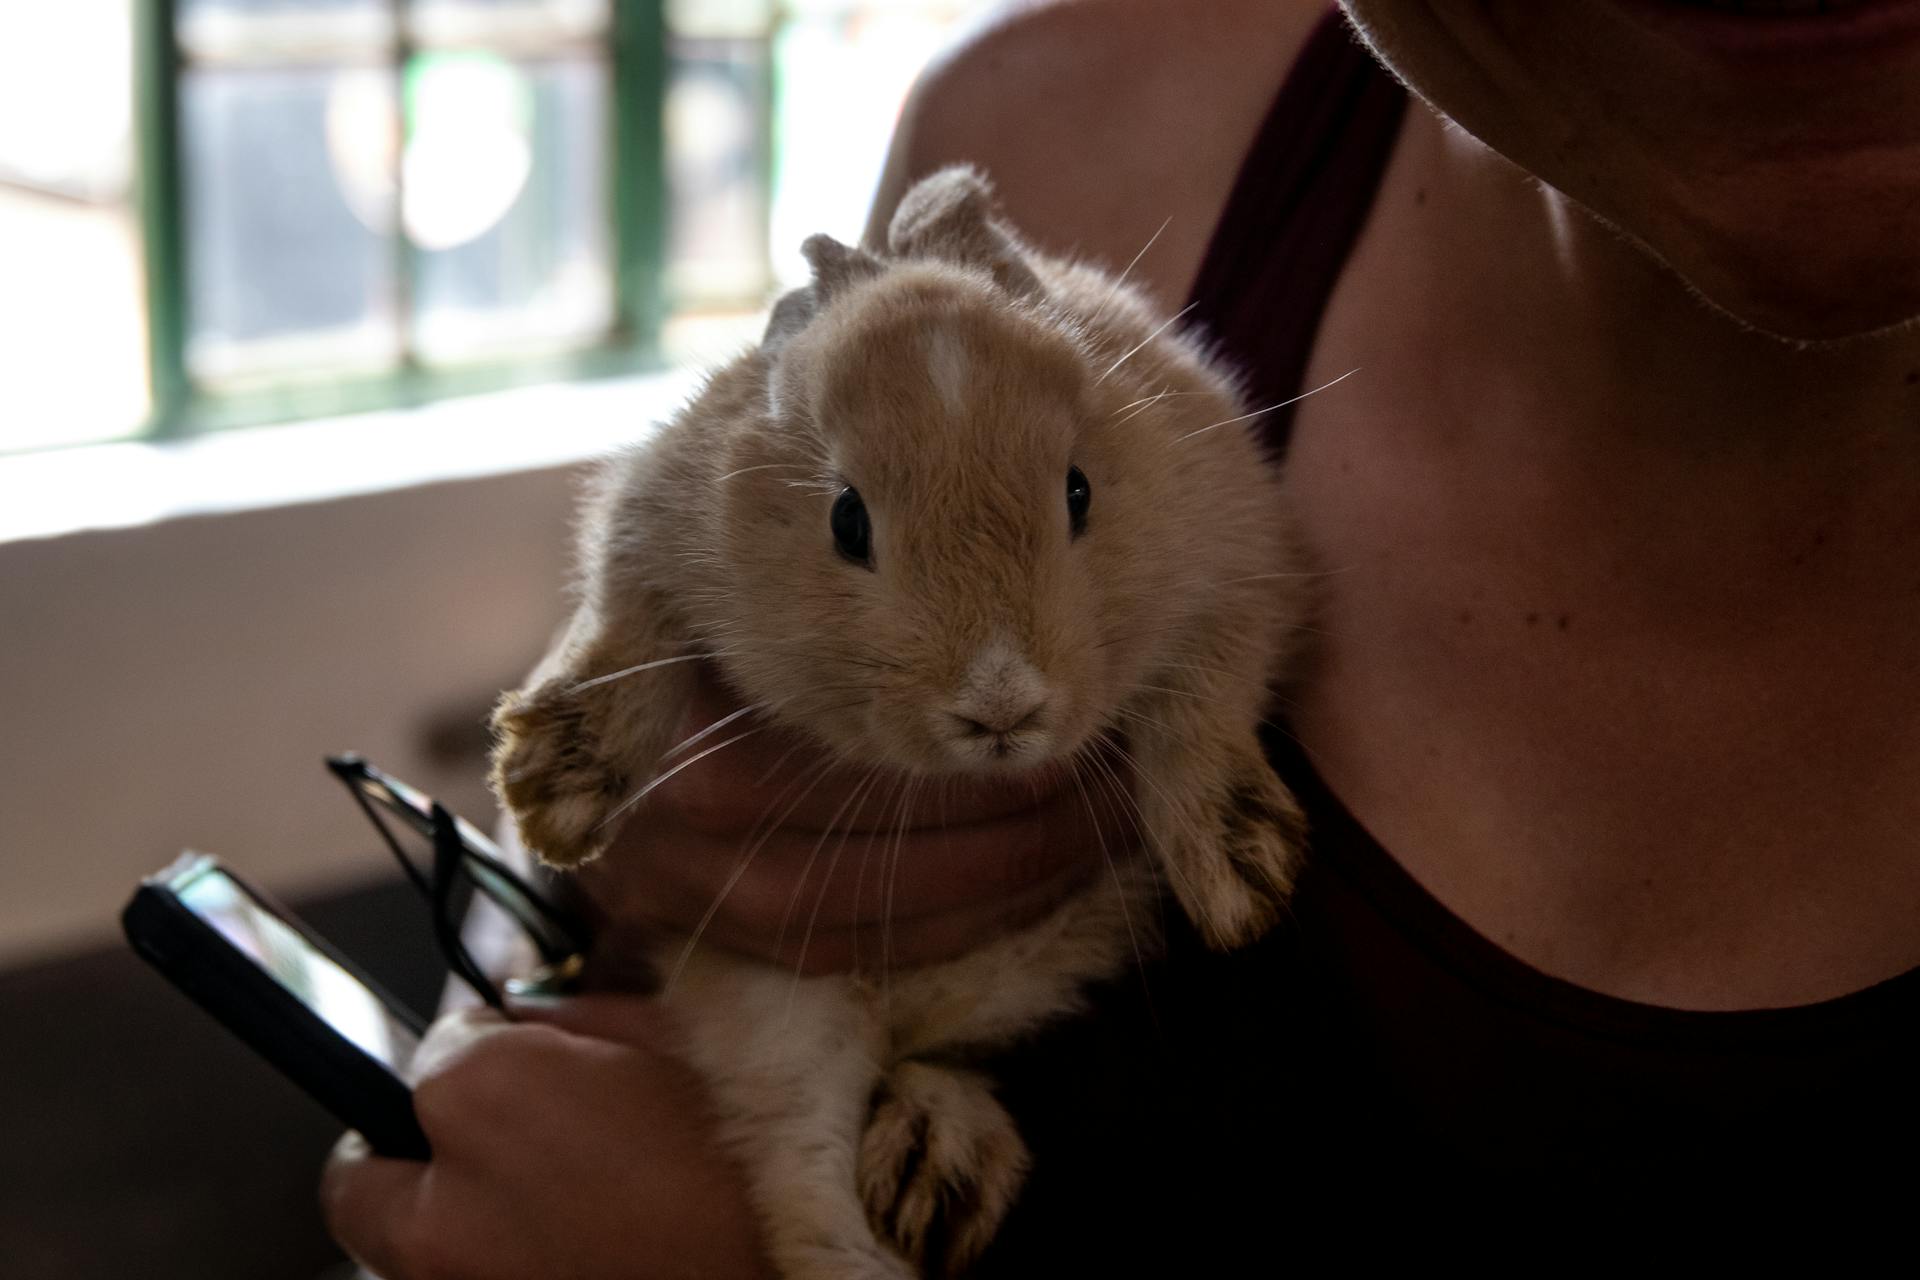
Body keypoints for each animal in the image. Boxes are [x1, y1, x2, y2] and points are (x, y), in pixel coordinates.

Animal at [487, 167, 1313, 1280]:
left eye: (1080, 490)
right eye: (847, 520)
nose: (1002, 701)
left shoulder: (1238, 559)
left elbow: (1205, 705)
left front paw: (1240, 880)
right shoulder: (650, 534)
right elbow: (624, 636)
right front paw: (553, 790)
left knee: (931, 1058)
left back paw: (938, 1167)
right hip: (782, 1015)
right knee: (811, 1179)